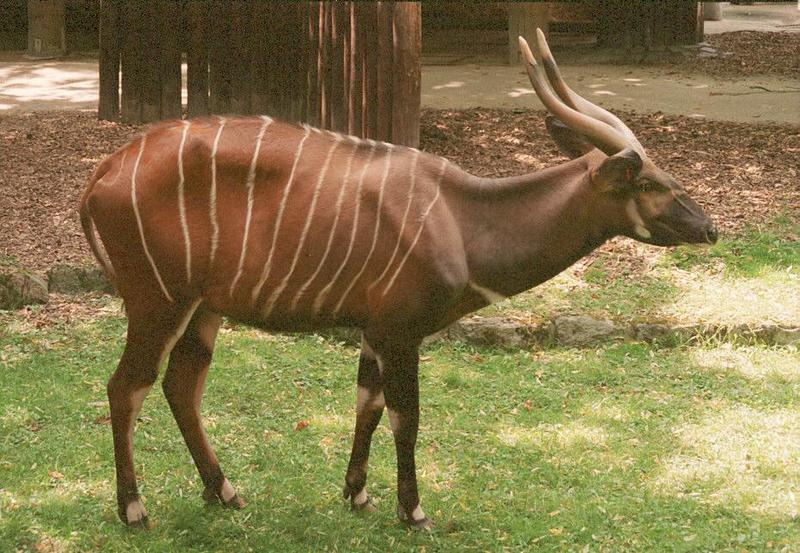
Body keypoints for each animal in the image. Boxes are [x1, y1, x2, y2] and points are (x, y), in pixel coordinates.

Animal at [81, 31, 720, 532]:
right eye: (649, 183)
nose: (709, 228)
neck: (462, 221)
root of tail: (101, 176)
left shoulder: (373, 329)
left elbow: (366, 404)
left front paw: (358, 495)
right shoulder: (401, 329)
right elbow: (405, 417)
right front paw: (413, 512)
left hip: (204, 308)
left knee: (180, 386)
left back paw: (226, 493)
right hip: (159, 300)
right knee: (127, 386)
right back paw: (134, 509)